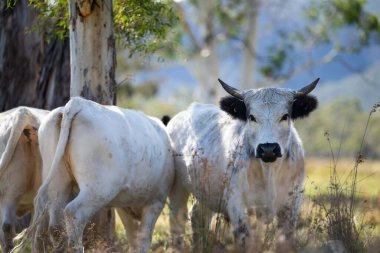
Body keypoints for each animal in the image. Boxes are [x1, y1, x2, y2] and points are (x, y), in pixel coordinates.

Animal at [33, 97, 173, 253]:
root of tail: (78, 102)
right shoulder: (156, 201)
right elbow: (143, 238)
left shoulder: (125, 204)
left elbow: (133, 238)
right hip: (98, 189)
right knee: (73, 213)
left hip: (58, 183)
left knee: (55, 226)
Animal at [168, 78, 320, 250]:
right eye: (252, 117)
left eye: (285, 116)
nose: (268, 148)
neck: (269, 172)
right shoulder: (237, 206)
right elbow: (244, 240)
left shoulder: (291, 206)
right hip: (178, 187)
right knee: (177, 218)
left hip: (206, 192)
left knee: (198, 216)